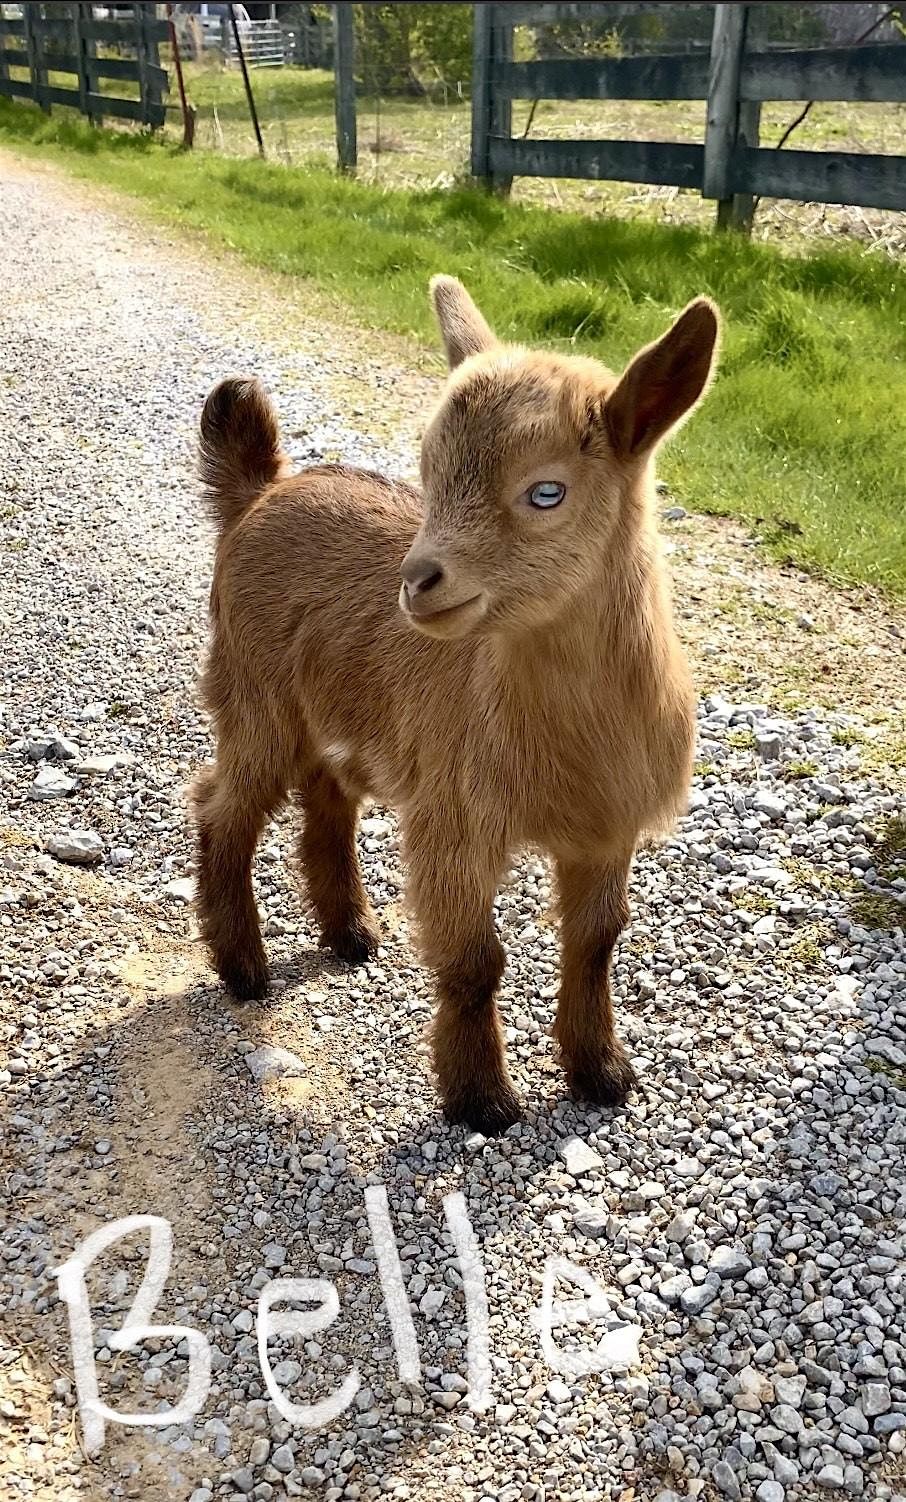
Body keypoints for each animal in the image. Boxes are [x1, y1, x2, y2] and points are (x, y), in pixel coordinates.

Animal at [193, 276, 715, 1129]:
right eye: (429, 470)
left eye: (546, 491)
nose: (416, 582)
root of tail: (262, 487)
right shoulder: (456, 818)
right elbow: (476, 960)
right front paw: (482, 1098)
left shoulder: (609, 828)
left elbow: (596, 942)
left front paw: (602, 1072)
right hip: (253, 692)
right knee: (222, 807)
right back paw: (243, 969)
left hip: (341, 710)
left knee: (327, 799)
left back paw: (350, 933)